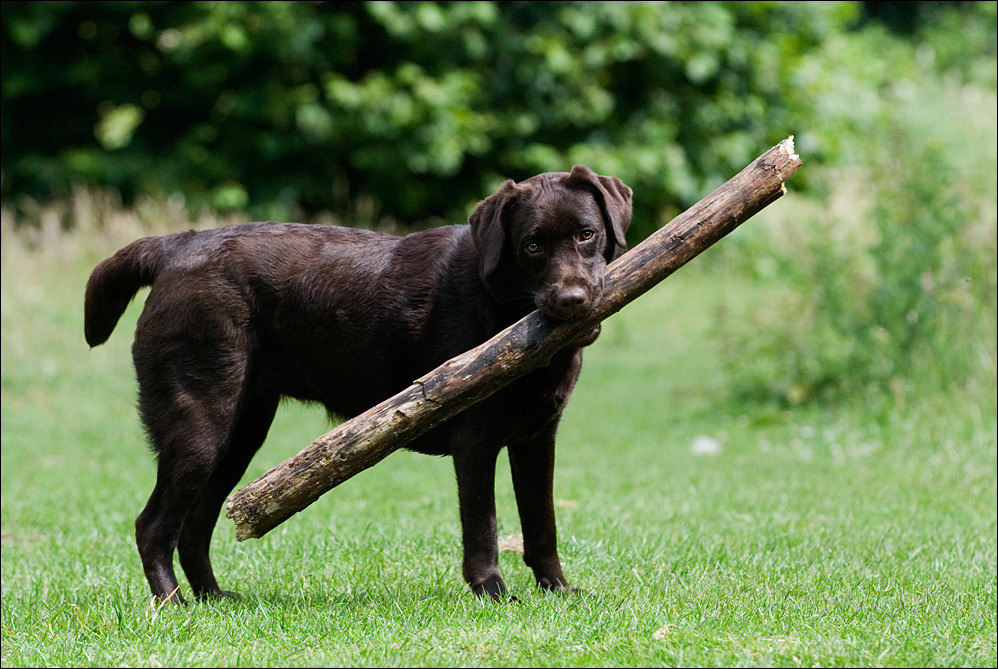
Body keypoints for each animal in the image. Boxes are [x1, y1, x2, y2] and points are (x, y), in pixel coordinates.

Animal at [86, 166, 632, 600]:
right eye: (532, 246)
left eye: (586, 234)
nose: (572, 300)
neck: (499, 303)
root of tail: (176, 244)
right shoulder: (474, 440)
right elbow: (483, 525)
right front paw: (493, 593)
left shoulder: (537, 439)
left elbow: (543, 525)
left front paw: (558, 589)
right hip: (200, 426)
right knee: (154, 525)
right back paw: (172, 604)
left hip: (241, 434)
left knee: (194, 526)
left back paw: (214, 598)